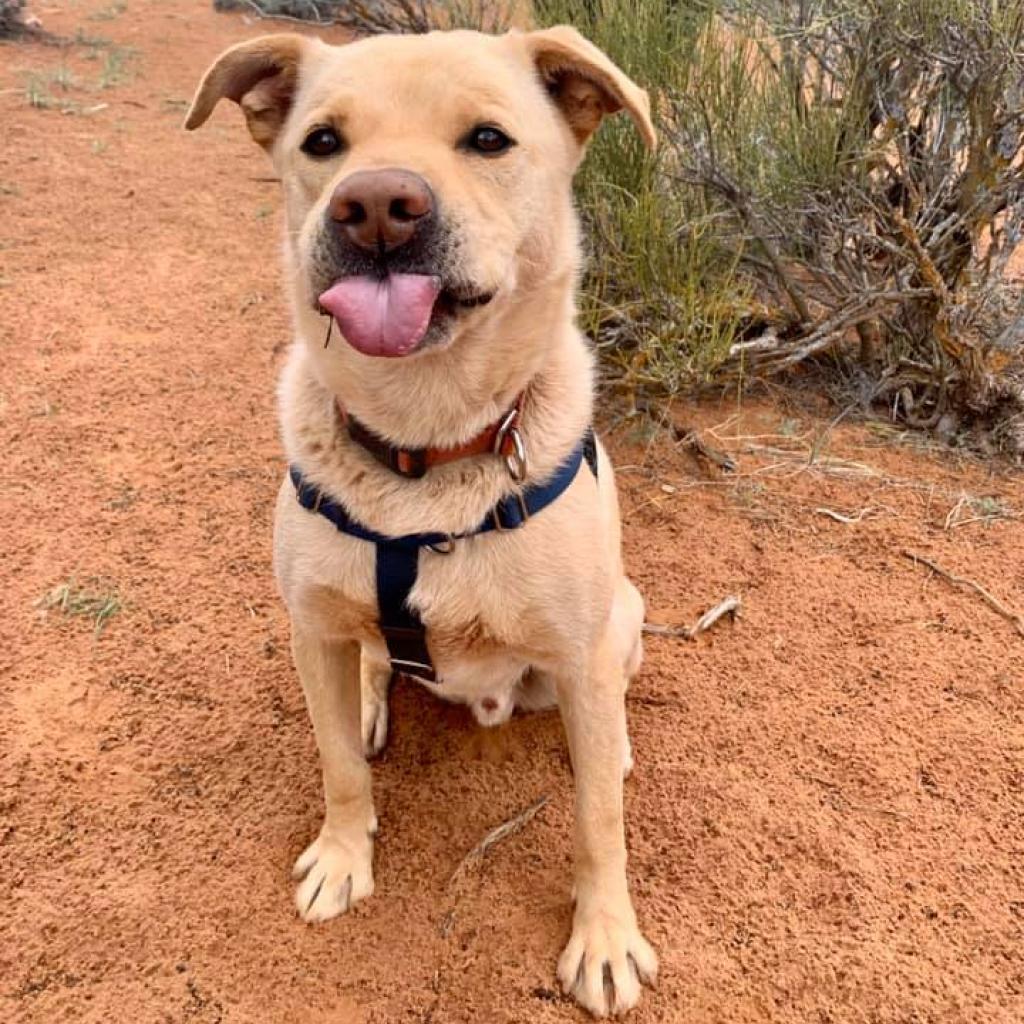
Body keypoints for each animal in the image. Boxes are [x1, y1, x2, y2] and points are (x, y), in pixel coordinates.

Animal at [186, 25, 655, 1015]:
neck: (423, 443)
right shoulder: (311, 629)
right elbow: (337, 767)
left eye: (488, 140)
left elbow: (599, 819)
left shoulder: (583, 655)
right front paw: (342, 858)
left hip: (620, 620)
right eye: (323, 143)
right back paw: (374, 696)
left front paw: (604, 938)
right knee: (369, 669)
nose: (375, 207)